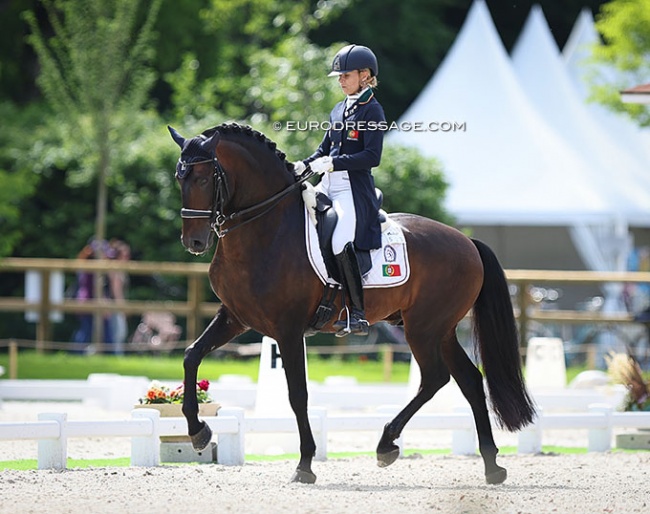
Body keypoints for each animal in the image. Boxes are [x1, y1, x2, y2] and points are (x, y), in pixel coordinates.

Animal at [170, 122, 536, 482]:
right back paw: (491, 465)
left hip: (424, 328)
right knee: (470, 380)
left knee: (435, 378)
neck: (266, 229)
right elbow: (191, 355)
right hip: (441, 331)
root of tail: (468, 242)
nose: (194, 242)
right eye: (179, 178)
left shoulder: (288, 330)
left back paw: (387, 444)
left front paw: (305, 464)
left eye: (203, 179)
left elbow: (297, 394)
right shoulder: (235, 317)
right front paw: (198, 431)